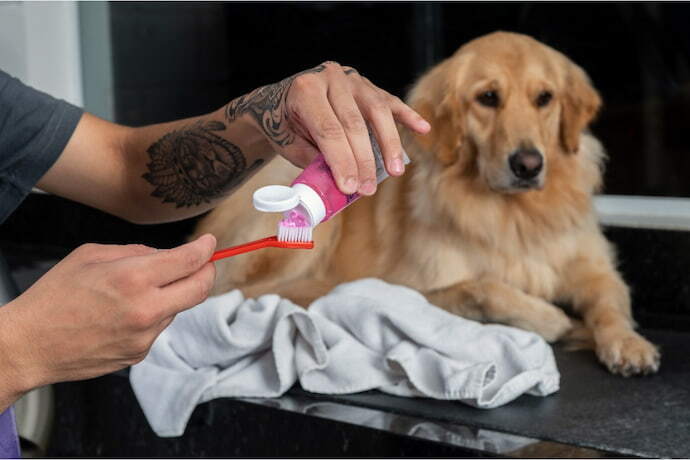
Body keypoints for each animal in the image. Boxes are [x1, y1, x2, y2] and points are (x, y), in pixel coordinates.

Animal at [194, 32, 656, 378]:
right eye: (488, 97)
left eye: (545, 98)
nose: (528, 164)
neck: (514, 215)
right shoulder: (416, 289)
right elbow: (484, 288)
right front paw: (555, 320)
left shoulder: (593, 267)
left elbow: (611, 300)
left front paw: (628, 343)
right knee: (251, 292)